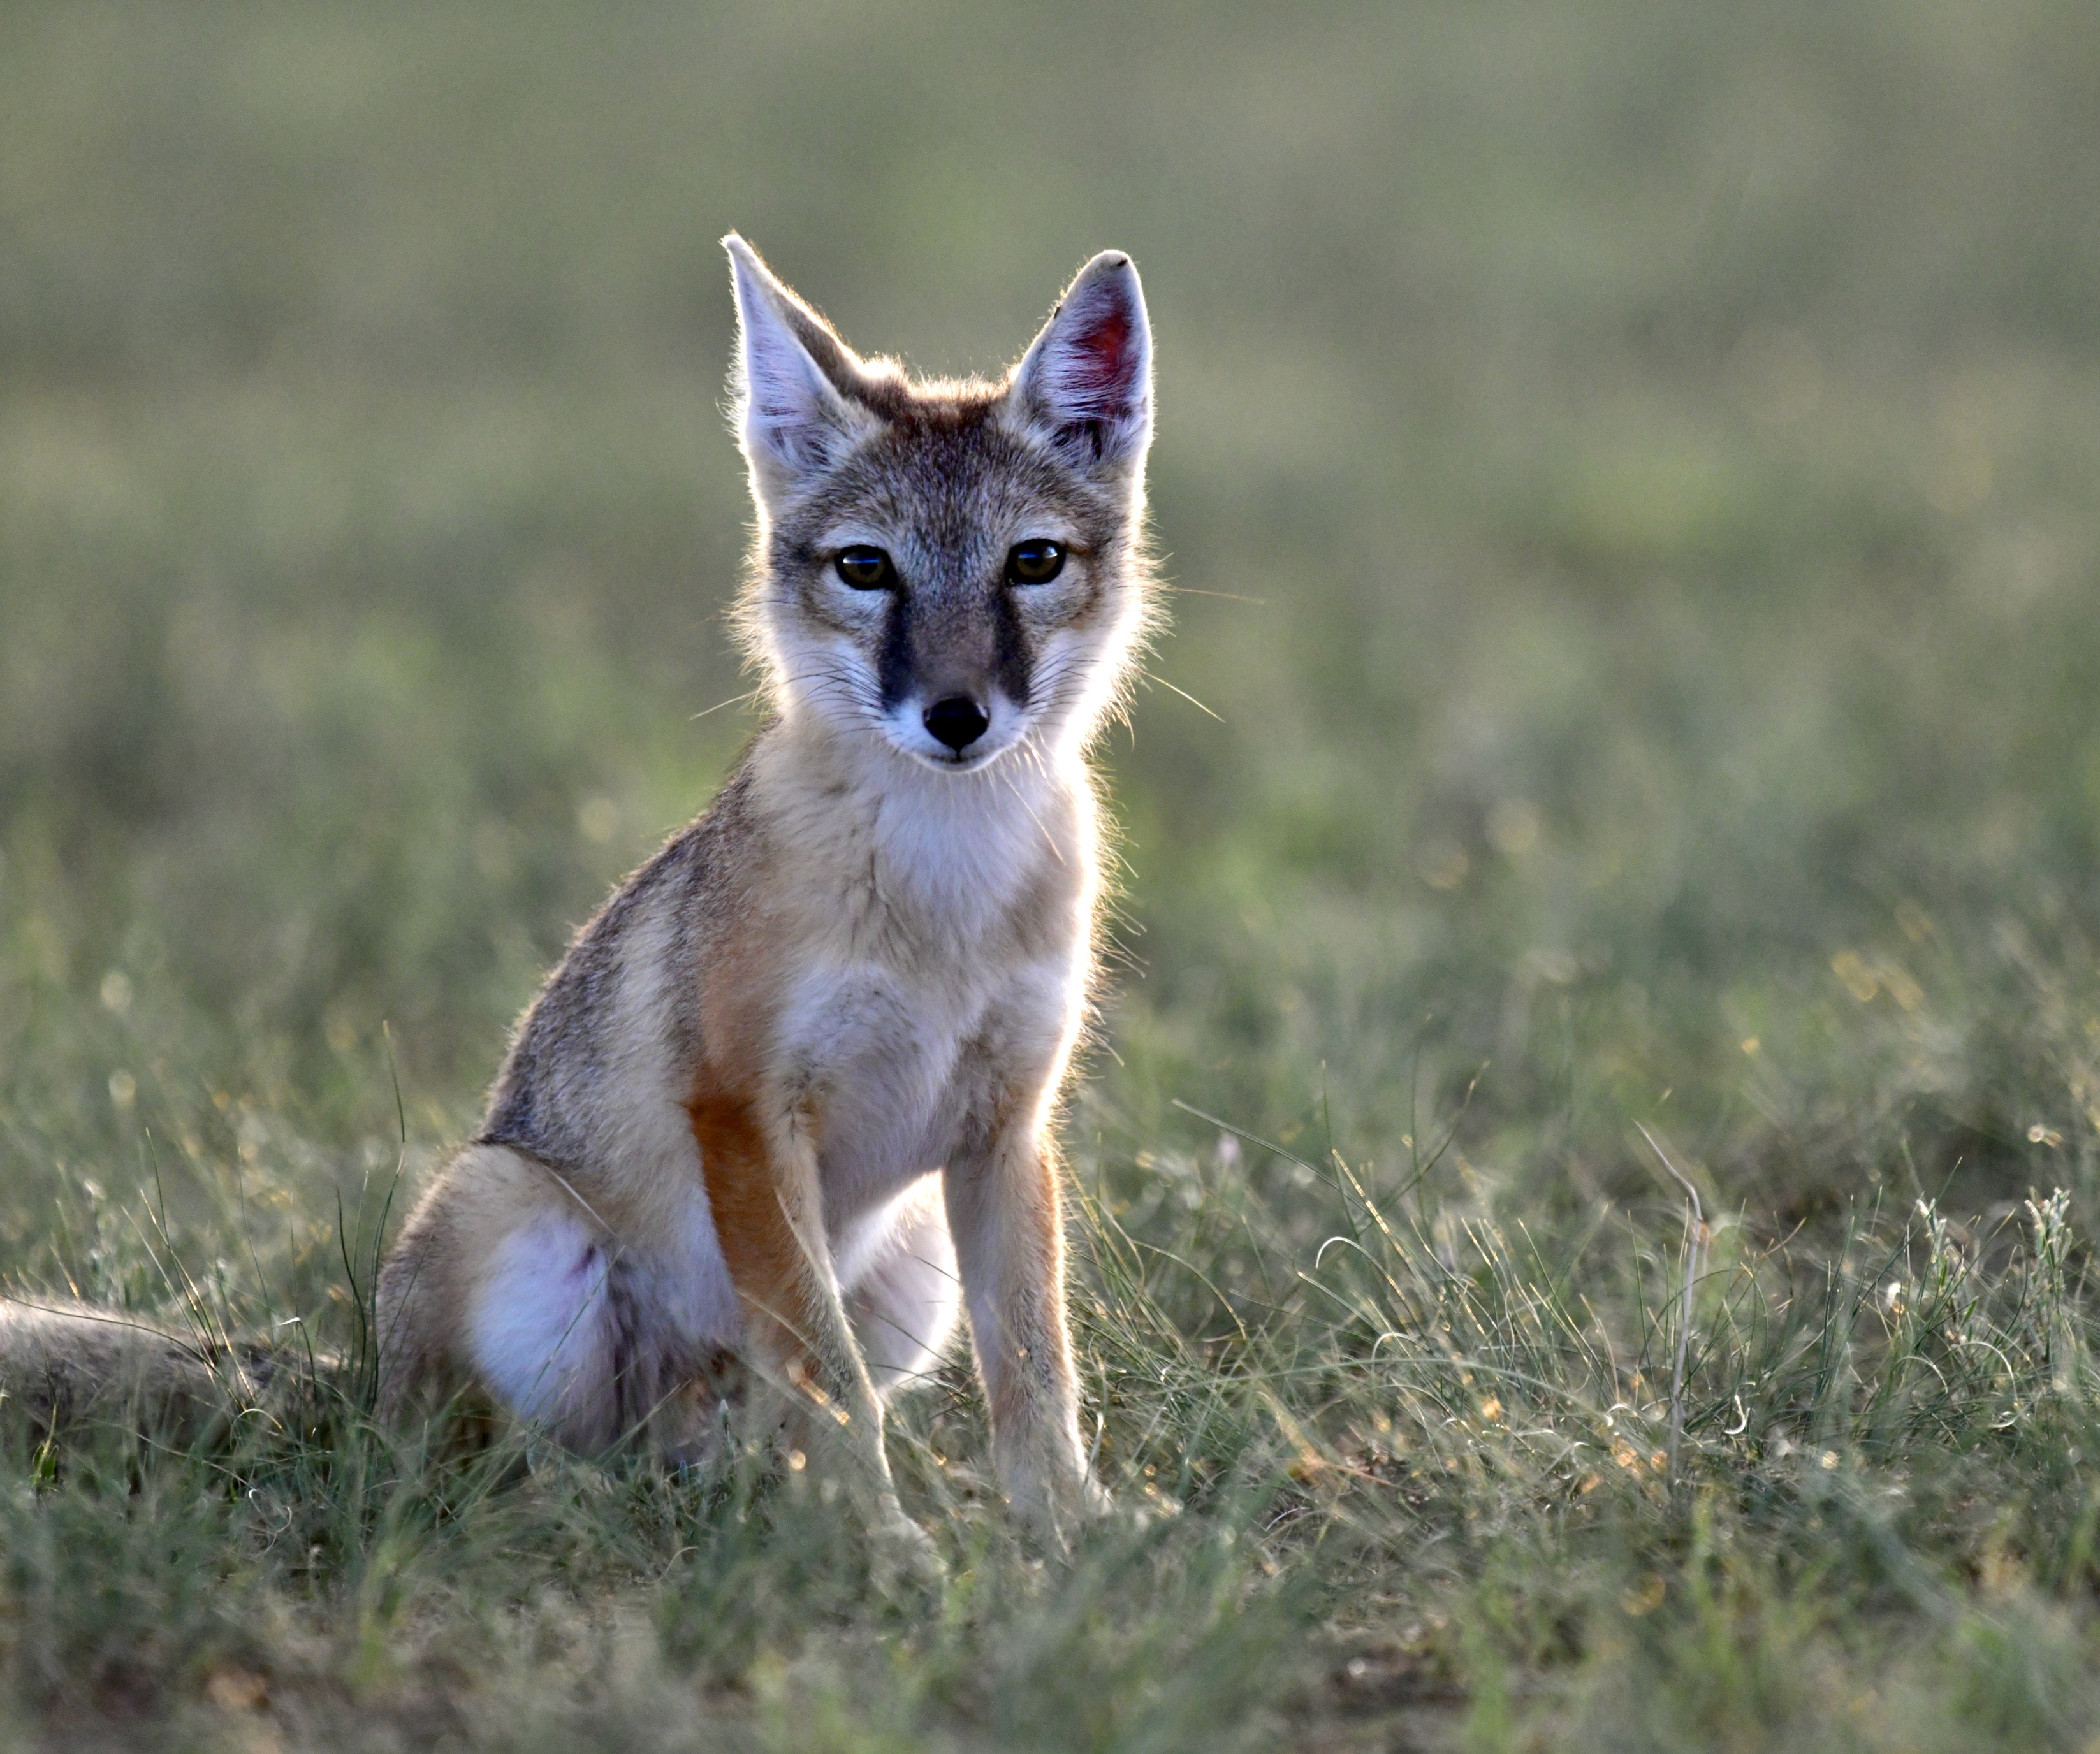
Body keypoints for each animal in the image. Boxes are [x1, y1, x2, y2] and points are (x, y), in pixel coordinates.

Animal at [0, 236, 1159, 1563]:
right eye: (867, 569)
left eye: (1033, 562)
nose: (955, 717)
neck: (941, 903)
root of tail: (358, 1384)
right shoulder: (742, 1109)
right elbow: (832, 1383)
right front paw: (879, 1544)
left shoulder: (1007, 1125)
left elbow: (1031, 1367)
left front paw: (1066, 1525)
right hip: (518, 1225)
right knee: (485, 1467)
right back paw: (583, 1499)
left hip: (900, 1265)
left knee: (726, 1440)